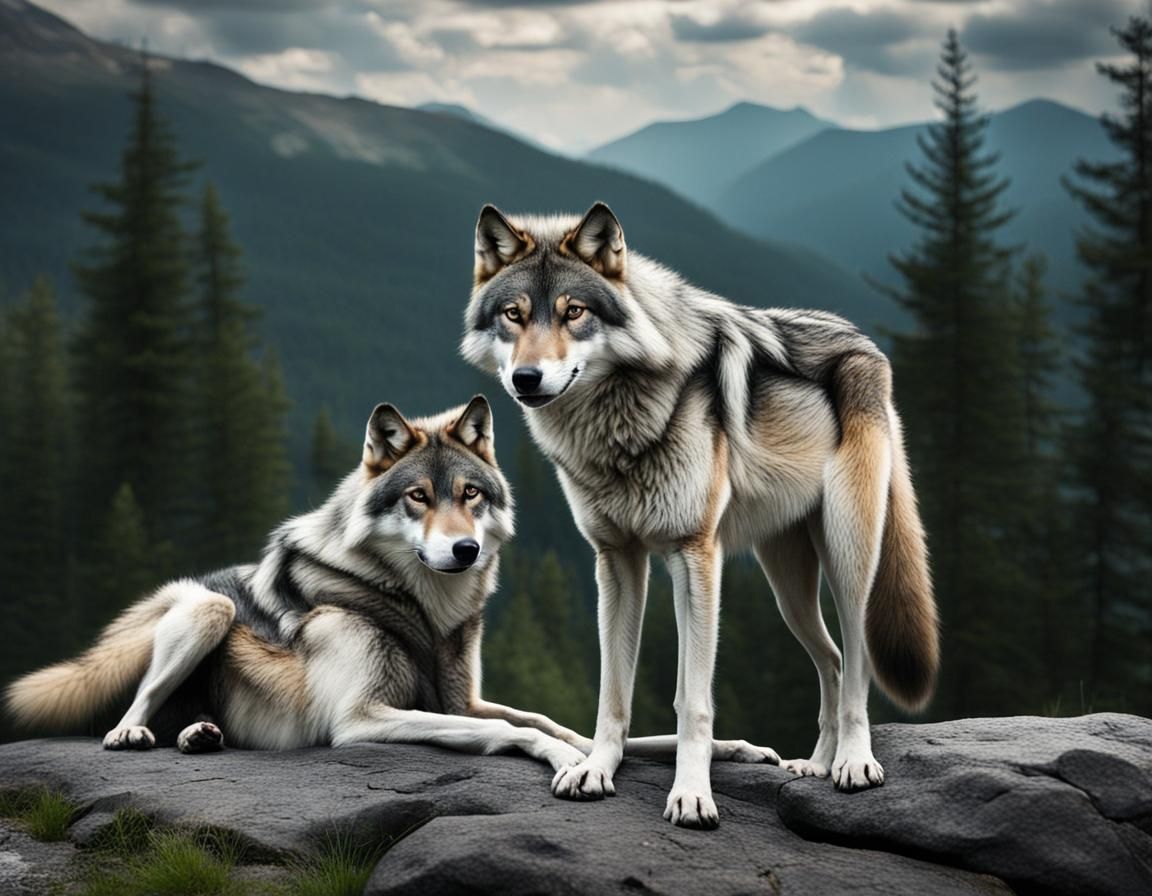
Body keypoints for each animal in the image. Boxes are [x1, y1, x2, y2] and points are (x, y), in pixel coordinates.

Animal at [6, 396, 780, 774]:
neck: (422, 609)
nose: (465, 549)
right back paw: (139, 734)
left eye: (471, 494)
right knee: (128, 713)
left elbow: (552, 720)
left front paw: (733, 750)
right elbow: (517, 734)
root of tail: (191, 582)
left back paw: (200, 735)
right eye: (417, 498)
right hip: (209, 611)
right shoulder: (364, 719)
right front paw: (567, 762)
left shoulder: (462, 698)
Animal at [461, 202, 940, 828]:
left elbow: (692, 701)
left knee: (857, 666)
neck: (619, 422)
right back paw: (814, 764)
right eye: (513, 315)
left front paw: (691, 794)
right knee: (832, 661)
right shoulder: (616, 560)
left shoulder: (694, 557)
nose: (526, 378)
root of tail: (867, 344)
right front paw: (596, 768)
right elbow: (613, 693)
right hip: (786, 586)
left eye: (574, 313)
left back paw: (853, 763)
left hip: (848, 559)